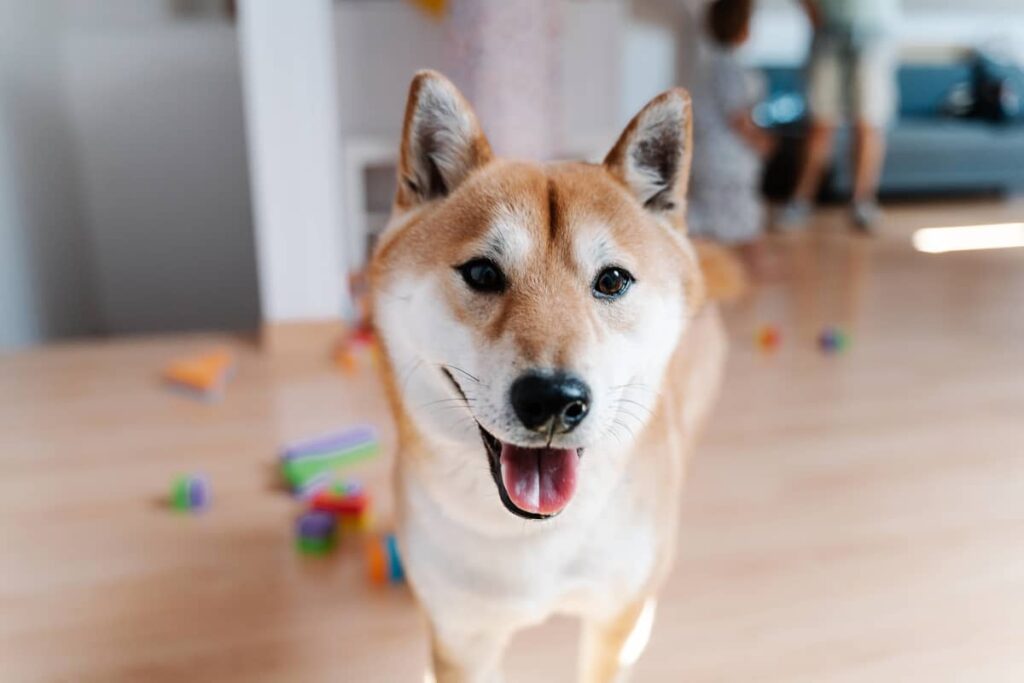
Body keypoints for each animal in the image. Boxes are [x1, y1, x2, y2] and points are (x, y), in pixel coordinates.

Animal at [372, 70, 733, 683]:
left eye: (612, 281)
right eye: (482, 273)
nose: (553, 399)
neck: (536, 537)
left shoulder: (613, 623)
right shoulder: (463, 639)